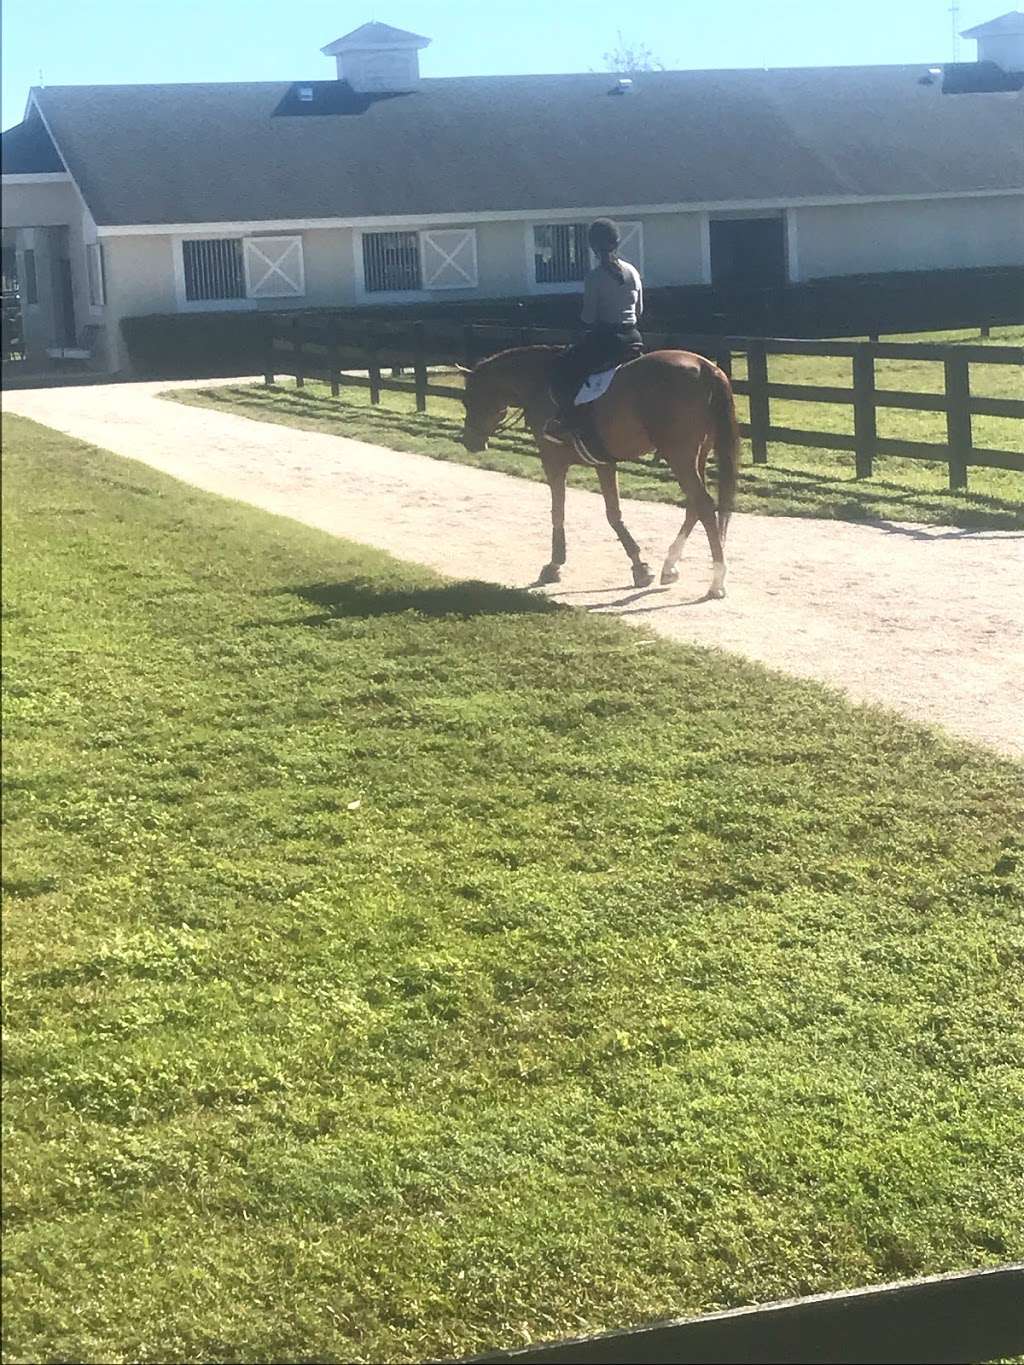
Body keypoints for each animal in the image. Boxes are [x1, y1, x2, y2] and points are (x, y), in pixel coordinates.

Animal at [461, 346, 742, 597]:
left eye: (469, 399)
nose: (469, 441)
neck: (539, 383)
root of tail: (706, 367)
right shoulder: (604, 464)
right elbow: (613, 514)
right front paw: (640, 567)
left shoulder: (553, 461)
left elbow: (558, 511)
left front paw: (554, 565)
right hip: (697, 454)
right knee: (695, 507)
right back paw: (670, 566)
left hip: (679, 455)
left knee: (703, 505)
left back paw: (717, 581)